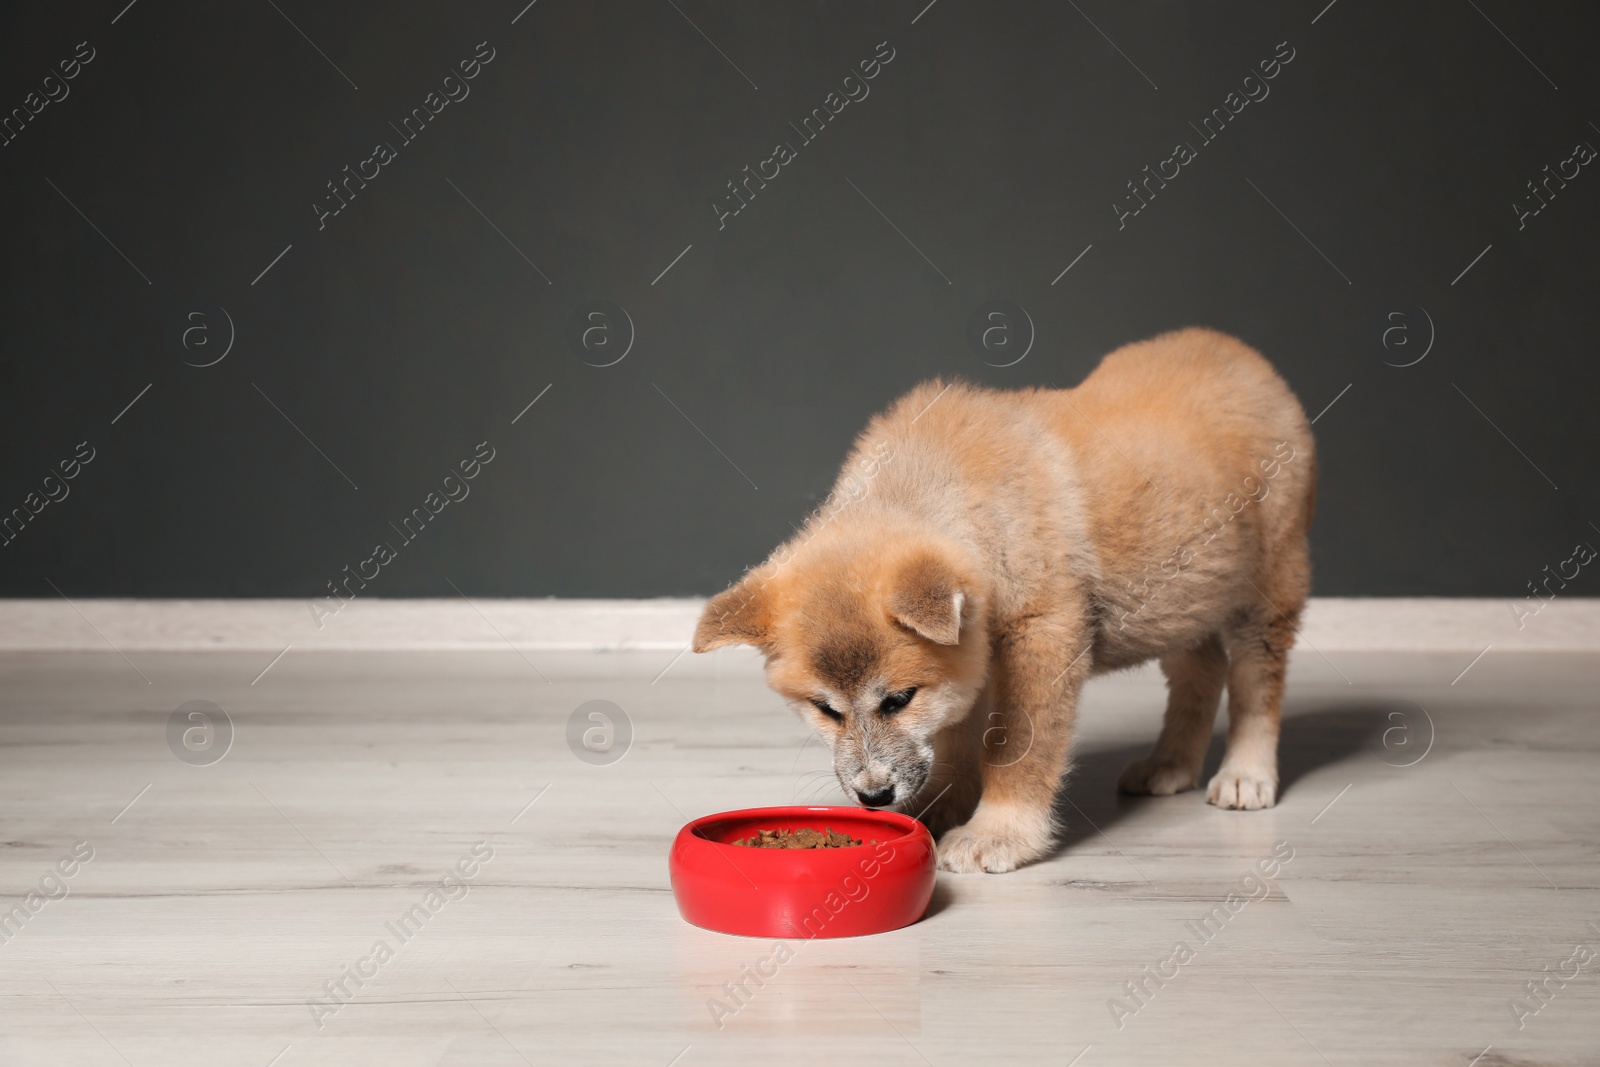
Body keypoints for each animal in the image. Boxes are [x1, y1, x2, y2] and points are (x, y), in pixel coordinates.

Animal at [694, 329, 1318, 870]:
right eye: (825, 709)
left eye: (897, 700)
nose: (874, 796)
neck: (969, 500)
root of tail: (1242, 355)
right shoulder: (972, 652)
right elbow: (955, 736)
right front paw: (943, 805)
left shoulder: (1042, 635)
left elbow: (1018, 745)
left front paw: (998, 831)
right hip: (1181, 601)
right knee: (1201, 670)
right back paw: (1172, 764)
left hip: (1266, 593)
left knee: (1256, 685)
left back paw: (1246, 774)